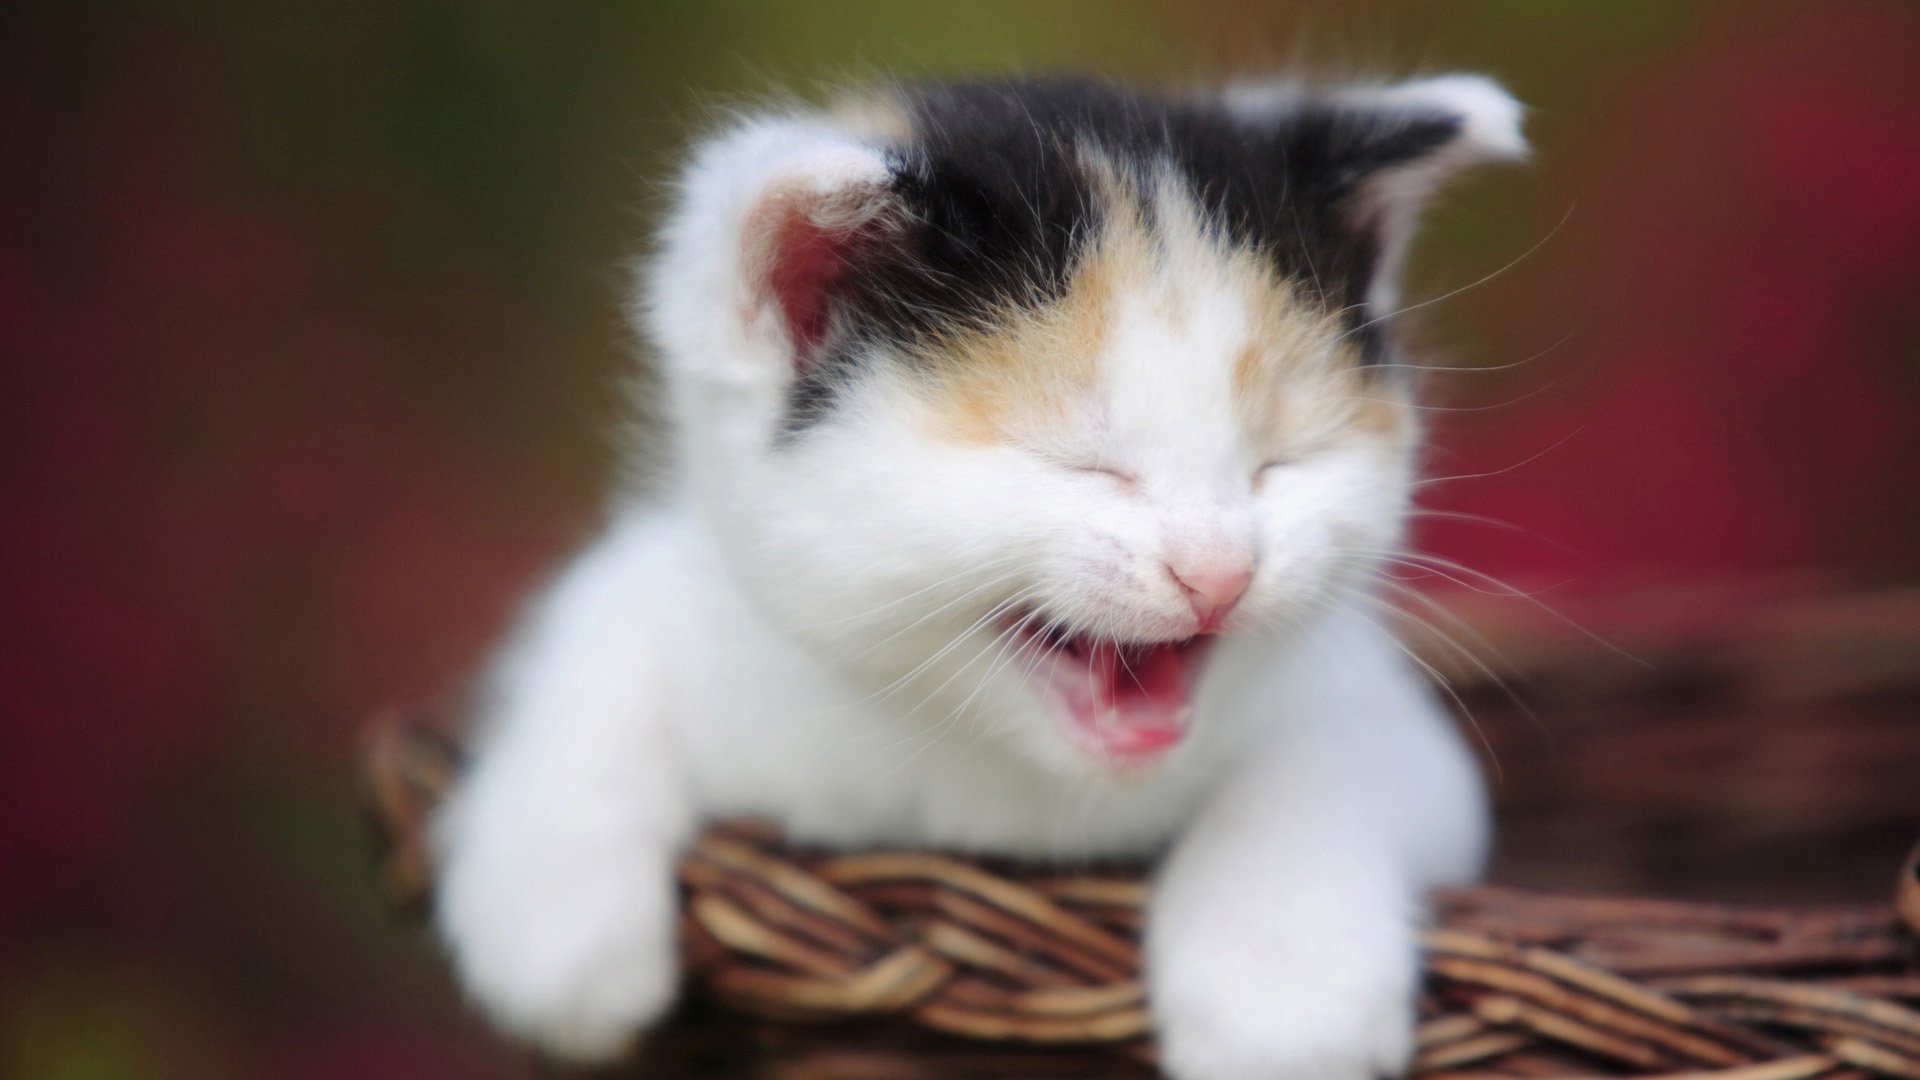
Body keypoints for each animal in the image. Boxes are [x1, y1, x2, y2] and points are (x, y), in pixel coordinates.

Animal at [435, 75, 1528, 1076]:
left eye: (1282, 461)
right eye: (1083, 464)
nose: (1218, 572)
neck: (995, 782)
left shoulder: (1394, 727)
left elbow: (1326, 757)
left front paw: (1282, 986)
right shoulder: (709, 596)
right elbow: (603, 622)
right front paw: (553, 924)